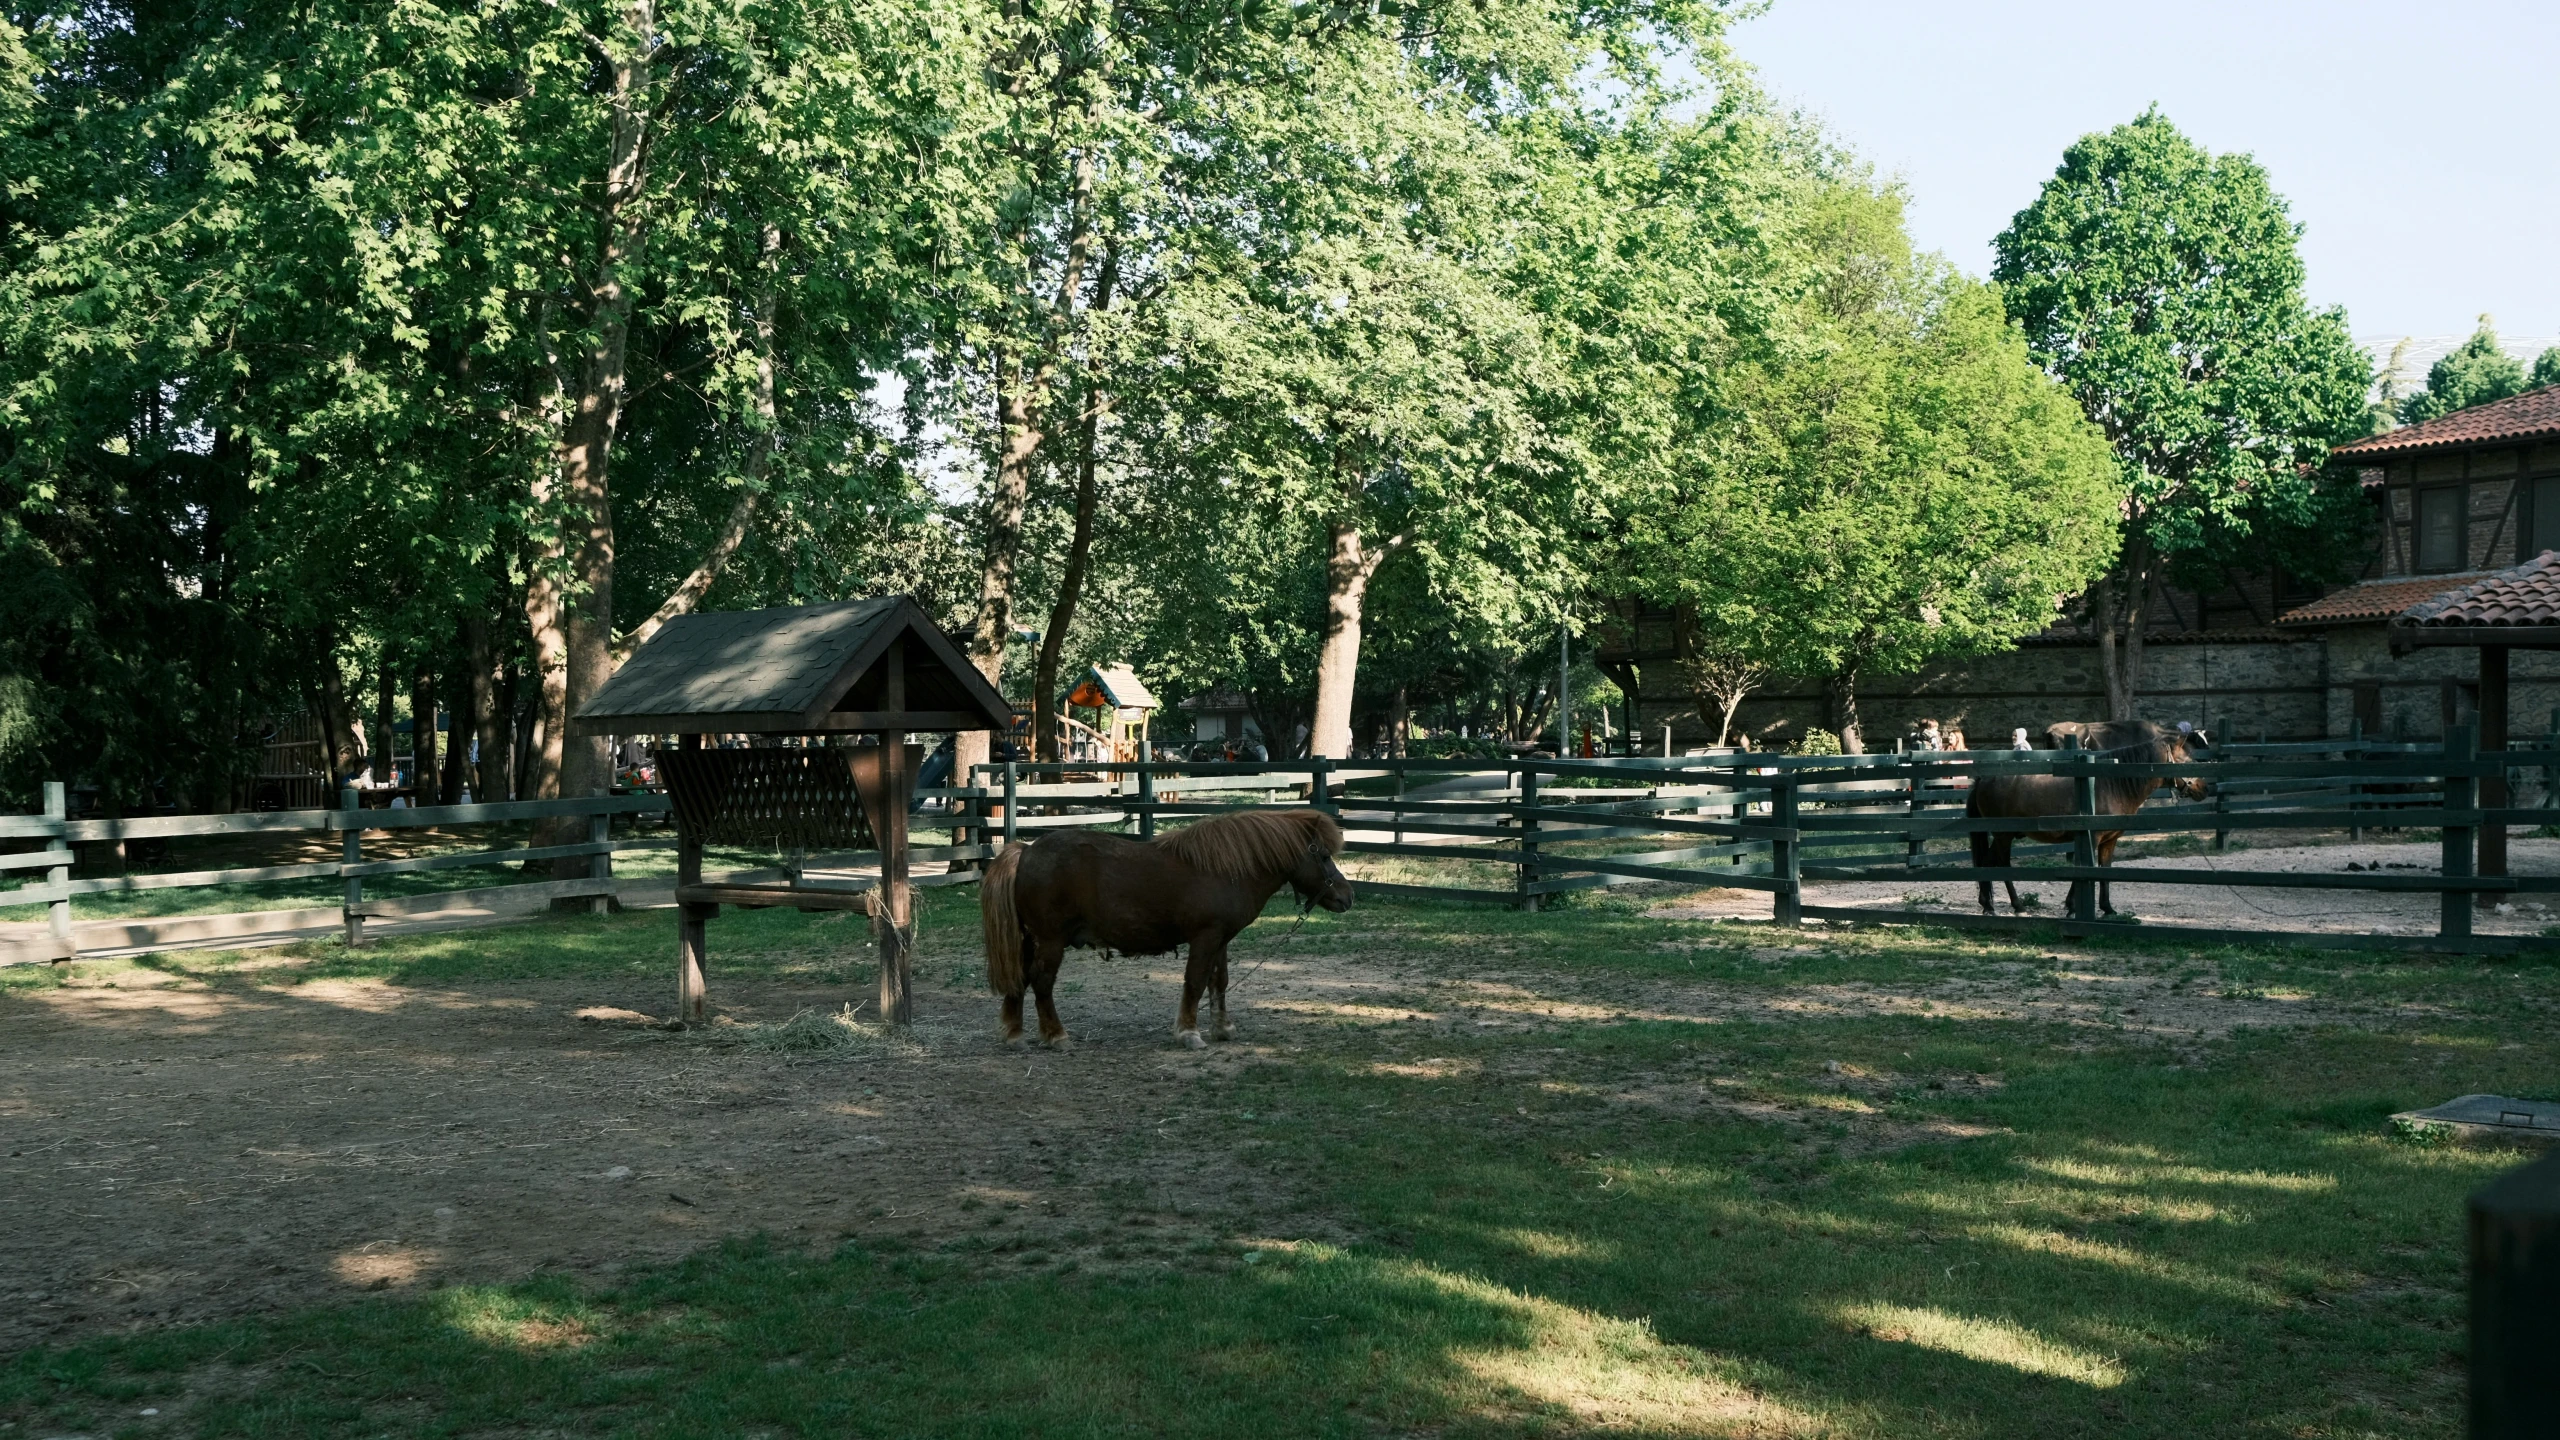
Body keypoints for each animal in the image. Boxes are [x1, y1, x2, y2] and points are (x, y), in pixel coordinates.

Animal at [972, 809, 1361, 1040]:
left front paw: (1222, 1027)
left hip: (1029, 939)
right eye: (1323, 855)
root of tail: (1026, 850)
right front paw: (1189, 1031)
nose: (1347, 896)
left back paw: (1015, 1032)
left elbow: (1219, 982)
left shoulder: (1220, 939)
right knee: (1041, 982)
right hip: (1051, 941)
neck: (1227, 869)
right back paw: (1055, 1035)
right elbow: (1195, 982)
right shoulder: (1204, 938)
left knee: (1020, 979)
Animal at [1966, 722, 2211, 912]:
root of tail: (1983, 780)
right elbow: (2086, 870)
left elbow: (2104, 871)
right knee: (2000, 865)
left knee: (1987, 863)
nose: (2204, 788)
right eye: (2187, 761)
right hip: (2003, 836)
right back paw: (2015, 906)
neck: (2110, 785)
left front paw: (2107, 908)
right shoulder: (2091, 837)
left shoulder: (2109, 841)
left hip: (2003, 836)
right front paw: (2073, 907)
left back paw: (1988, 905)